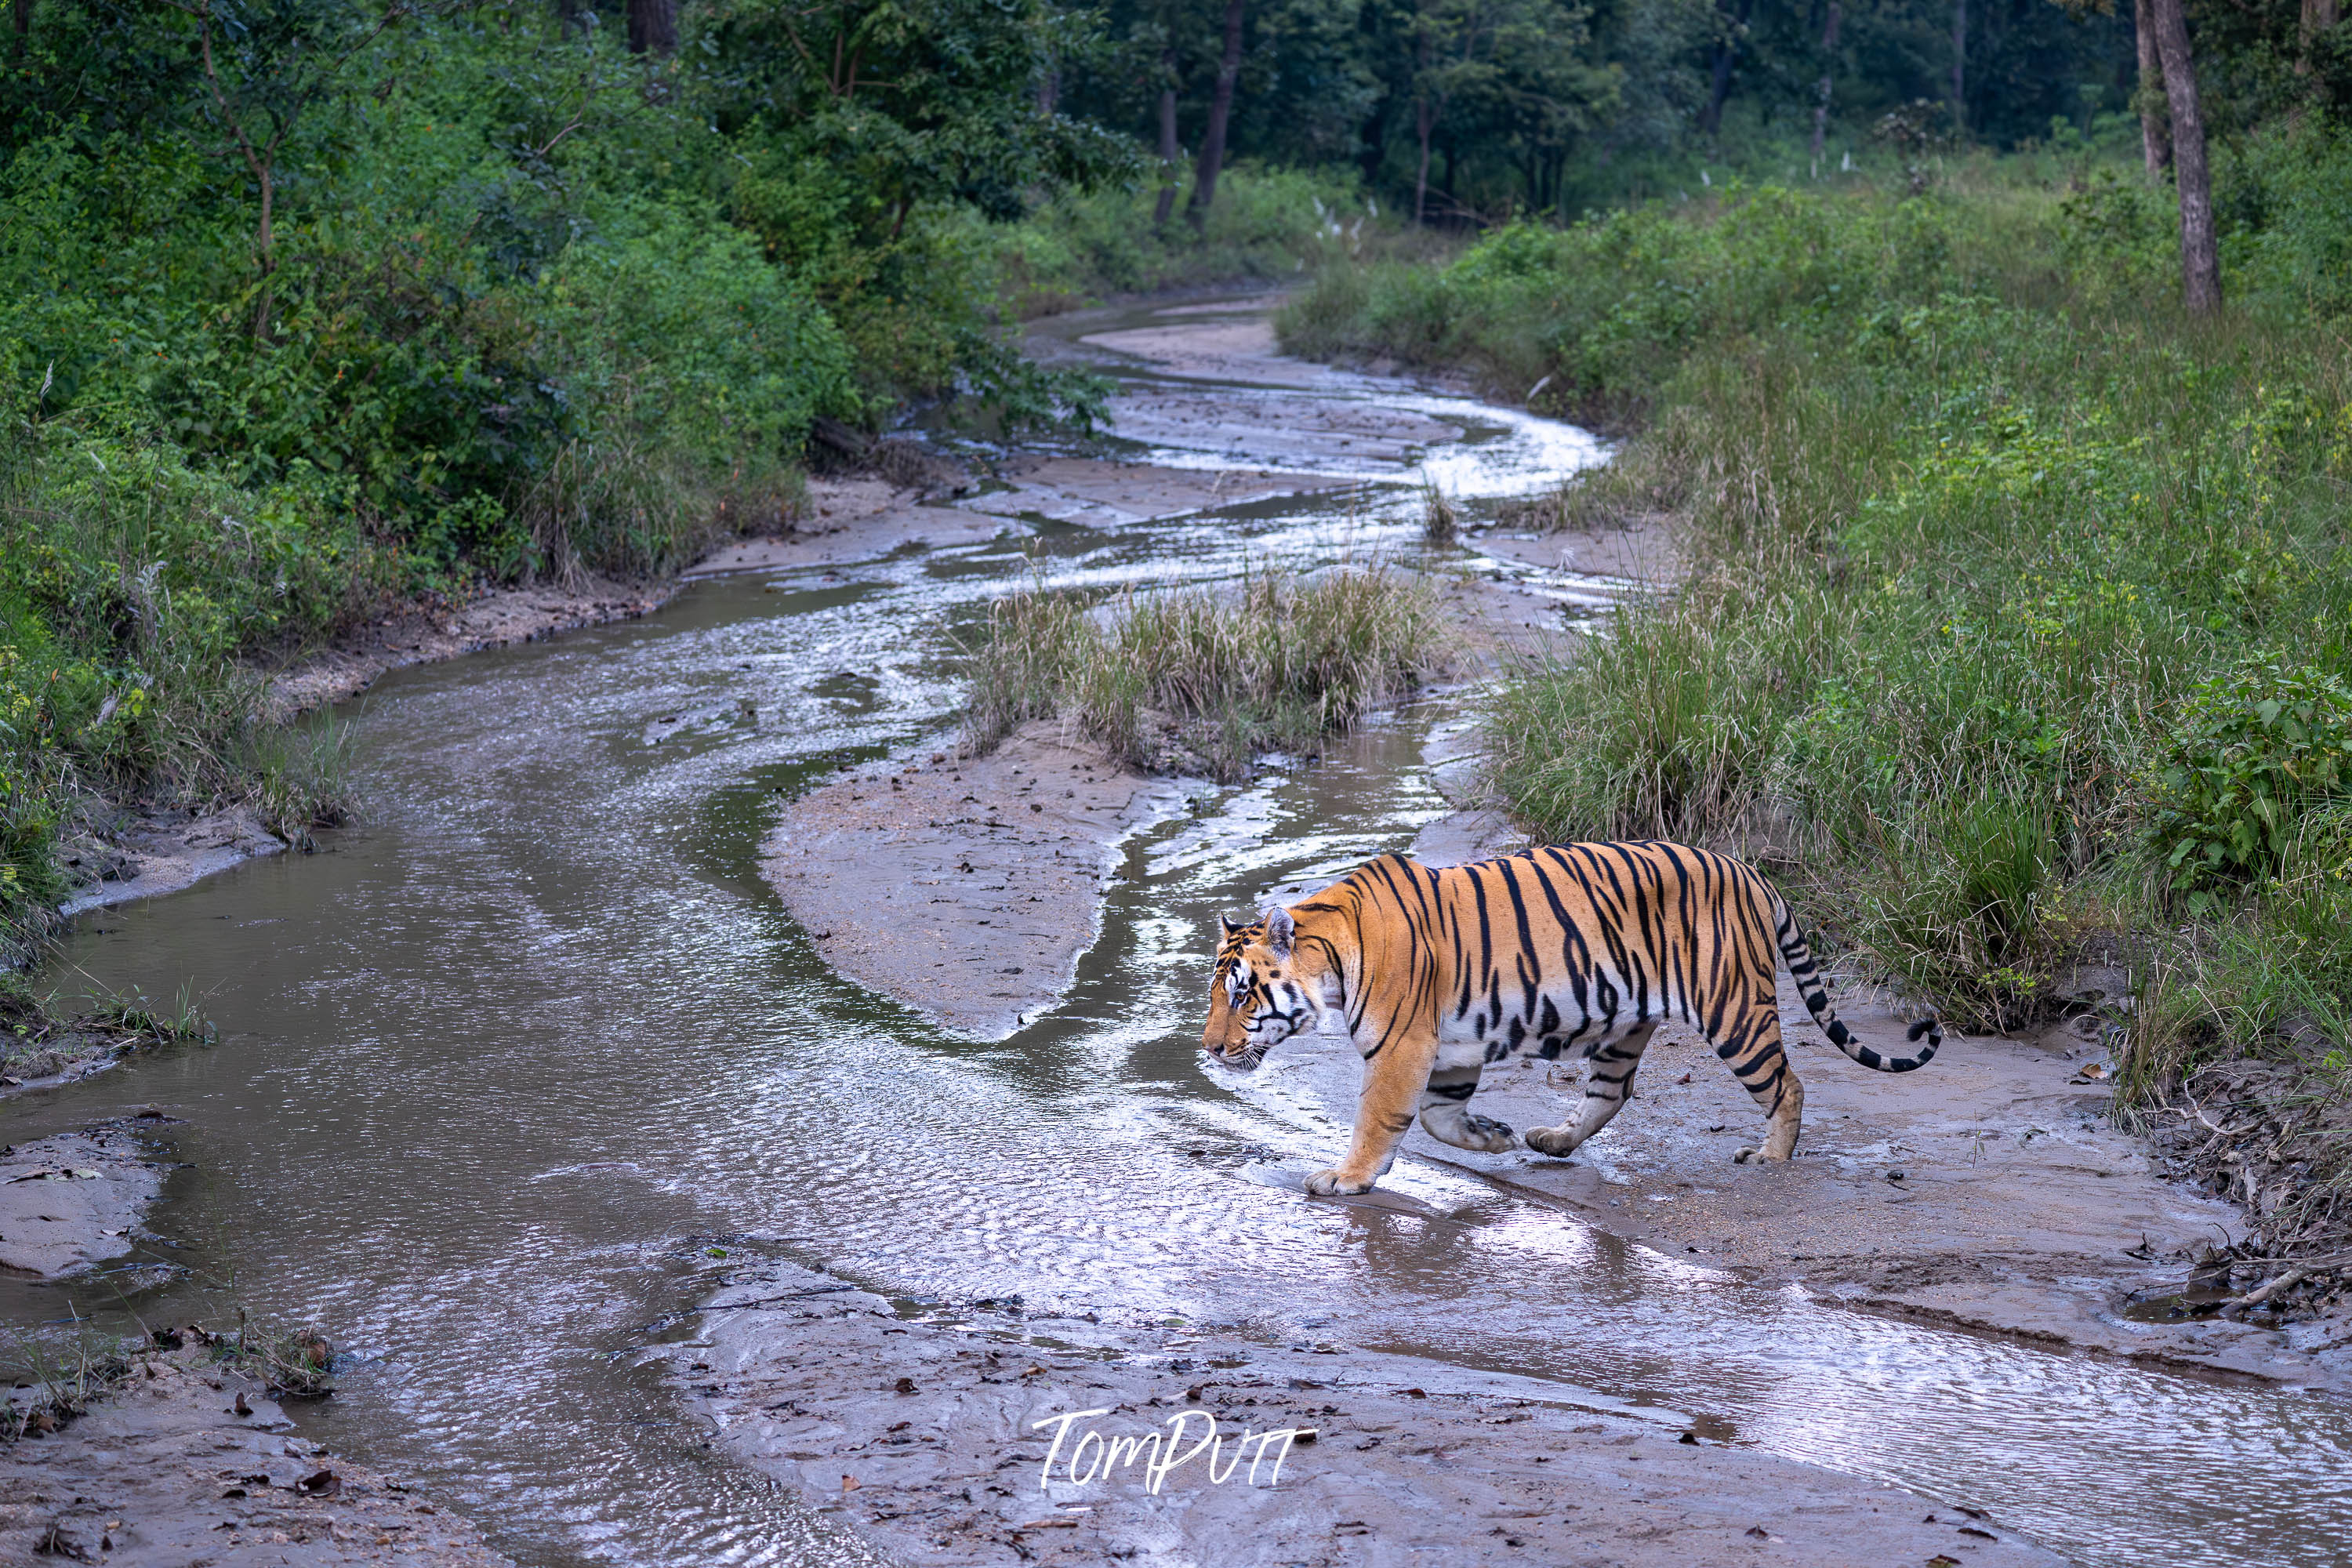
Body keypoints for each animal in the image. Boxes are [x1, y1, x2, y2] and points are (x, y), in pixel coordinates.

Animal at [1200, 840, 1939, 1196]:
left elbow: (1380, 1119)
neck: (1334, 947)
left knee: (1788, 1085)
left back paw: (1770, 1157)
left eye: (1241, 995)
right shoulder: (1449, 1050)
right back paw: (1550, 1139)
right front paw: (1491, 1137)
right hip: (1625, 1024)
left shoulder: (1403, 1047)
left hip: (1735, 1012)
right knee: (1612, 1093)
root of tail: (1751, 872)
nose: (1207, 1049)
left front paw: (1346, 1178)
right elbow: (1440, 1116)